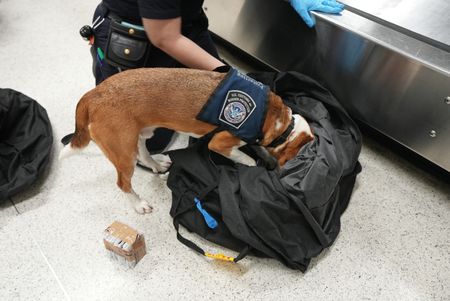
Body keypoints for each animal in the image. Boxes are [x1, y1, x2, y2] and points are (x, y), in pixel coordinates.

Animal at [59, 68, 312, 213]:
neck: (278, 119)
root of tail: (93, 94)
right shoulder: (219, 143)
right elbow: (245, 158)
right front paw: (252, 164)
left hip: (140, 135)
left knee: (144, 153)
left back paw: (157, 164)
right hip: (123, 152)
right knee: (123, 183)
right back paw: (139, 204)